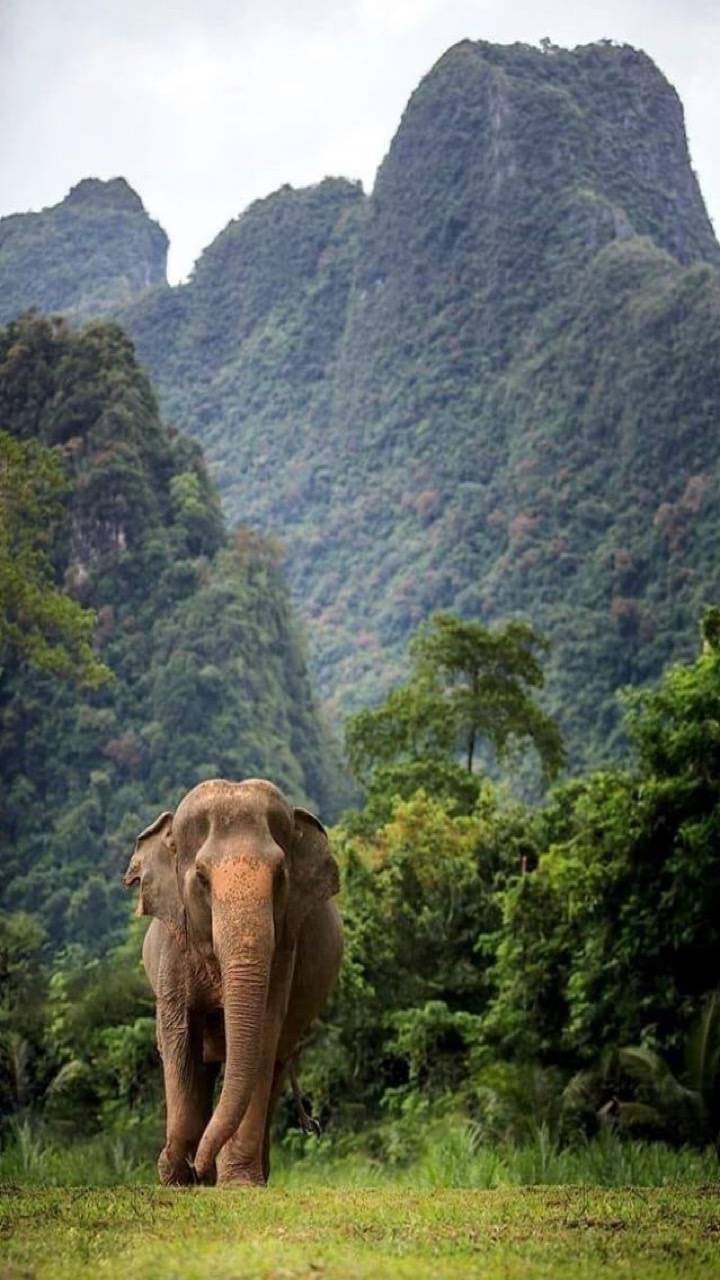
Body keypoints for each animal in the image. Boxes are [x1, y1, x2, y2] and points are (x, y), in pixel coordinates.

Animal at [121, 777, 343, 1187]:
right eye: (202, 878)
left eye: (280, 877)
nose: (198, 1166)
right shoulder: (175, 946)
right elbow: (179, 1037)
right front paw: (177, 1175)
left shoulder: (283, 948)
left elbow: (264, 1033)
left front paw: (235, 1181)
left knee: (275, 1065)